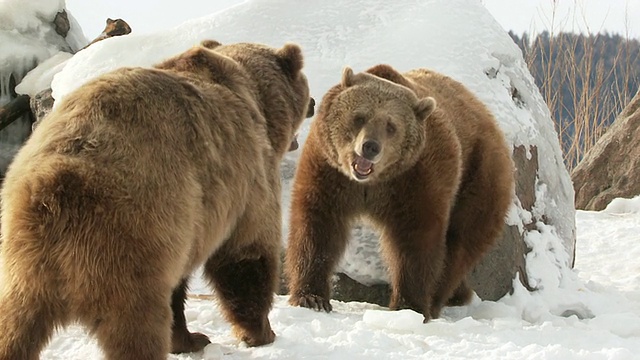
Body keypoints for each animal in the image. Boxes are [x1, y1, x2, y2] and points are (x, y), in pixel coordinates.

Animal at [0, 40, 310, 360]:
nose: (312, 104)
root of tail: (53, 185)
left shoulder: (189, 222)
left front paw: (189, 338)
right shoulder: (247, 175)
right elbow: (246, 252)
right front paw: (261, 332)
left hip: (24, 261)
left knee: (14, 324)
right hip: (126, 234)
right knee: (137, 326)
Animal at [284, 63, 516, 322]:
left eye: (391, 126)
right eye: (359, 117)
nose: (370, 146)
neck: (372, 182)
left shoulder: (416, 179)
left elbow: (416, 239)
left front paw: (409, 305)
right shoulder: (329, 171)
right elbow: (317, 225)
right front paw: (311, 297)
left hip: (479, 178)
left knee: (459, 245)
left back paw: (438, 300)